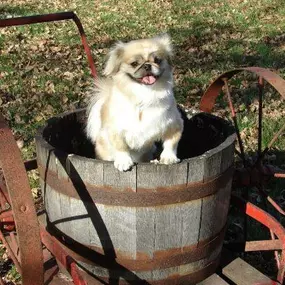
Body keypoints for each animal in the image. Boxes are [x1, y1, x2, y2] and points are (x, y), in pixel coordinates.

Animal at [86, 33, 182, 171]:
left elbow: (171, 143)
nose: (147, 65)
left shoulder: (174, 124)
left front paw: (169, 158)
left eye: (157, 60)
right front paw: (123, 161)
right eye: (134, 63)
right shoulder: (116, 129)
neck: (145, 93)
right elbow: (121, 147)